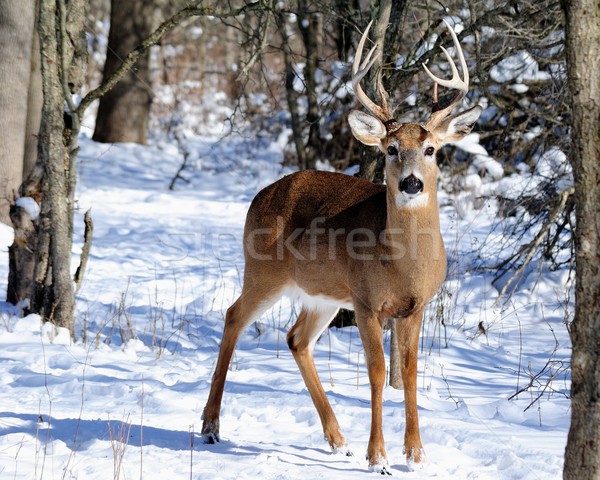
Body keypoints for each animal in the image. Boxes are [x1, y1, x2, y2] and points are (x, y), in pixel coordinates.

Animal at [202, 19, 482, 472]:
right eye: (391, 149)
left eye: (430, 149)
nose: (411, 183)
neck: (403, 265)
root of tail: (259, 195)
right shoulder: (367, 301)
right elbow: (377, 372)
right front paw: (378, 457)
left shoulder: (415, 305)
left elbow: (408, 373)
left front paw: (415, 455)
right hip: (263, 271)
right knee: (233, 317)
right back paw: (210, 427)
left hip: (324, 295)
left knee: (296, 339)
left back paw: (338, 440)